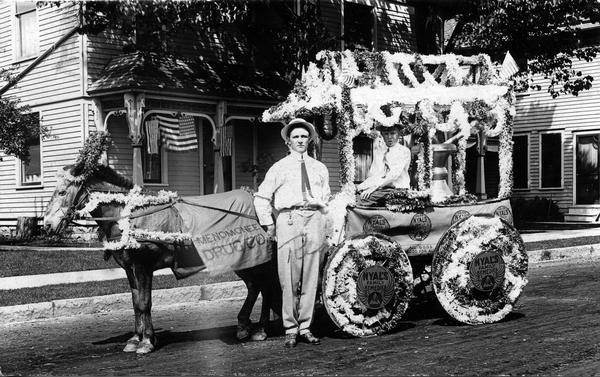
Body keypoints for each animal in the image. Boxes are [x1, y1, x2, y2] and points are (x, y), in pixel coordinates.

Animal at [43, 164, 282, 352]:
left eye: (62, 192)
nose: (47, 224)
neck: (131, 215)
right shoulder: (129, 268)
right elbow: (135, 302)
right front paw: (135, 338)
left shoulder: (143, 266)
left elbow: (144, 302)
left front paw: (147, 341)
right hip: (244, 261)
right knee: (256, 287)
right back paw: (244, 326)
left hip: (260, 260)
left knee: (266, 286)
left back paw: (261, 329)